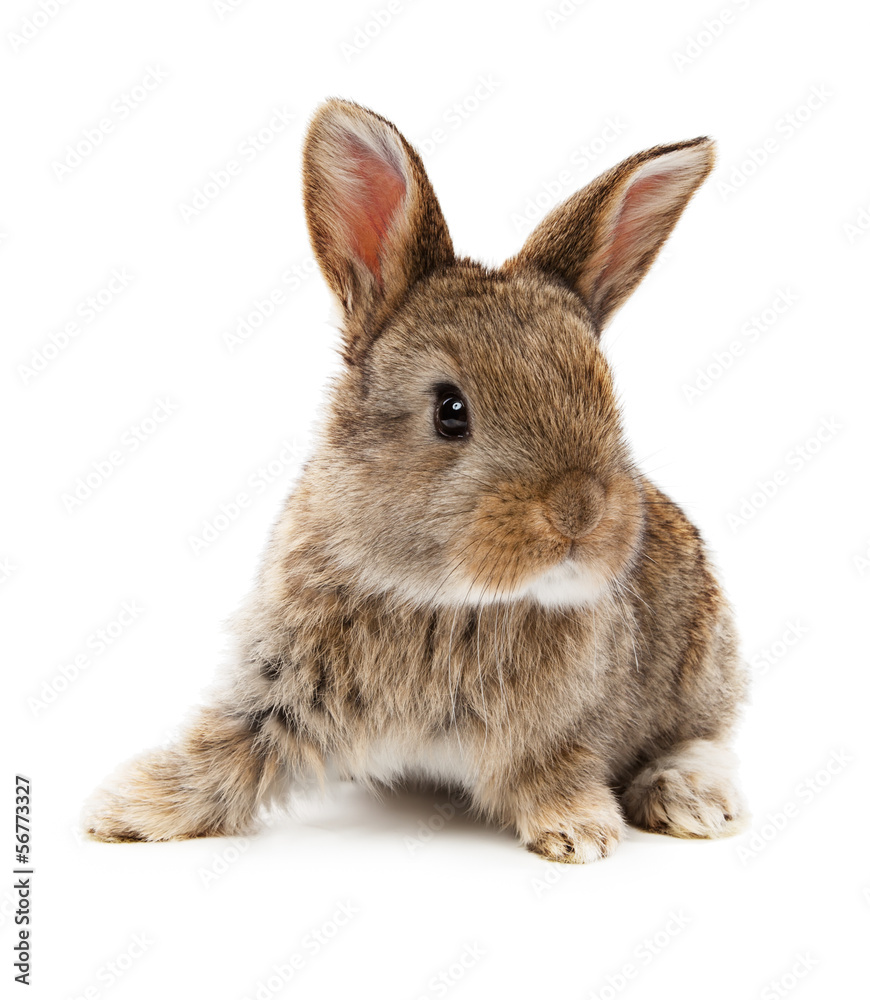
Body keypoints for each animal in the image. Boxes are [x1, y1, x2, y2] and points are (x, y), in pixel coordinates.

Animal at [84, 98, 748, 863]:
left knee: (704, 735)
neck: (444, 598)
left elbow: (555, 769)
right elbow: (224, 756)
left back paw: (693, 801)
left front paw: (580, 834)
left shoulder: (561, 731)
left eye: (606, 394)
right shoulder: (278, 695)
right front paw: (125, 812)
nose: (578, 513)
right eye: (450, 410)